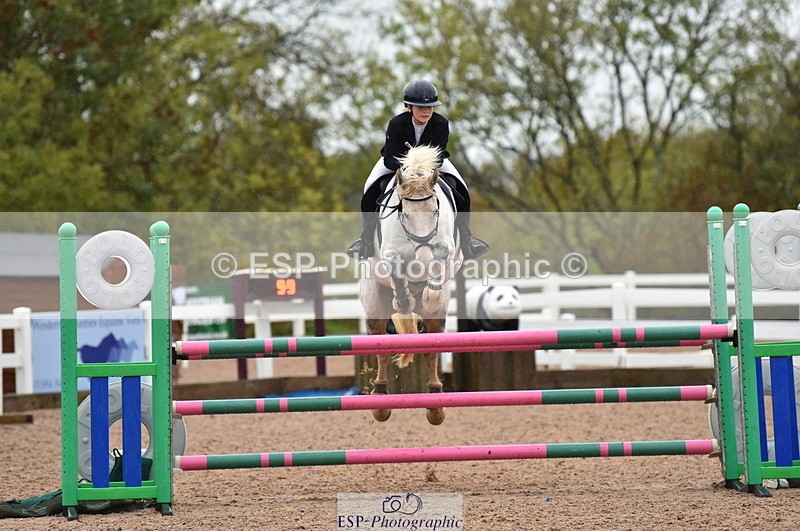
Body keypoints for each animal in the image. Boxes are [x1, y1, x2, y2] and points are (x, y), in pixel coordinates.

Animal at [359, 145, 462, 425]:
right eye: (403, 212)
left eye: (436, 210)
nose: (422, 261)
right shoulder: (390, 252)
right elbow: (396, 267)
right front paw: (404, 300)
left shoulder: (446, 245)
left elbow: (440, 253)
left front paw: (430, 295)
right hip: (374, 305)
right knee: (381, 344)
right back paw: (380, 398)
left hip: (437, 320)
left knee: (431, 348)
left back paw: (435, 403)